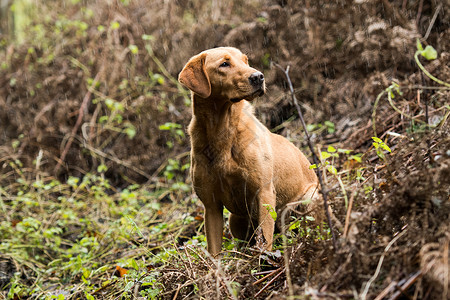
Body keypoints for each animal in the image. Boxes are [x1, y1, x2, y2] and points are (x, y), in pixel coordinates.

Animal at [178, 47, 318, 255]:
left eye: (245, 61)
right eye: (224, 64)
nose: (258, 76)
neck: (222, 130)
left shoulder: (264, 193)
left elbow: (265, 239)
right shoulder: (211, 206)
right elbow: (214, 252)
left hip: (308, 199)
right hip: (235, 219)